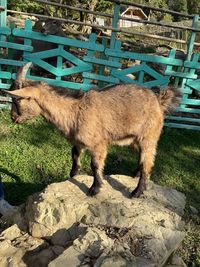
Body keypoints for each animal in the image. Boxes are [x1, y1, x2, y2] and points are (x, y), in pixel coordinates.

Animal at [3, 62, 177, 197]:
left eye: (17, 99)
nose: (13, 117)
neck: (74, 110)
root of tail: (158, 102)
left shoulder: (99, 143)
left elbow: (95, 165)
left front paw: (95, 188)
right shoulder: (78, 141)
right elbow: (74, 154)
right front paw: (73, 174)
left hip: (149, 136)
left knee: (147, 162)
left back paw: (137, 192)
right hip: (134, 139)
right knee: (143, 159)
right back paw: (135, 175)